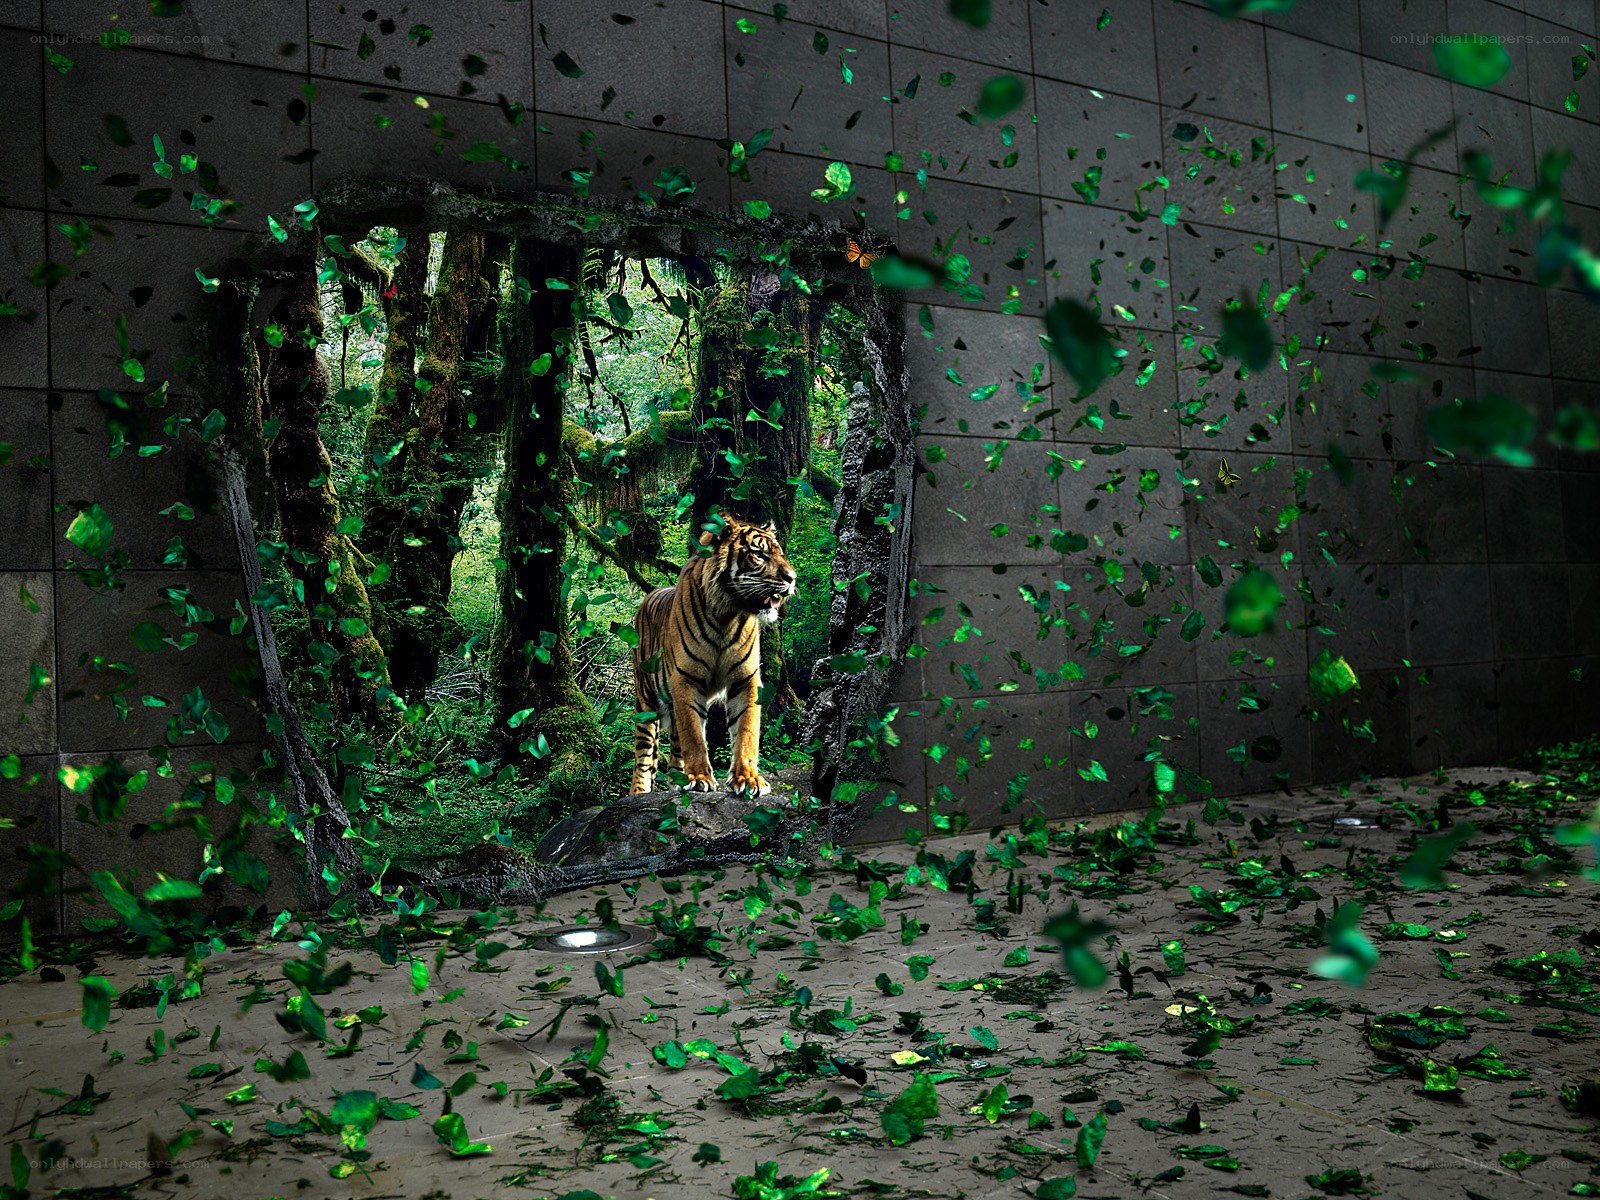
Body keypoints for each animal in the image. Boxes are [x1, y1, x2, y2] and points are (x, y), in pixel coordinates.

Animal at [629, 513, 797, 796]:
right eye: (759, 554)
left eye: (780, 554)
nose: (793, 578)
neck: (726, 614)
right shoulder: (685, 679)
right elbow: (694, 735)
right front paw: (699, 777)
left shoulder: (746, 679)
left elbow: (746, 730)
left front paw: (748, 779)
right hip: (646, 701)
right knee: (644, 756)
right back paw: (639, 793)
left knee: (674, 752)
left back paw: (677, 782)